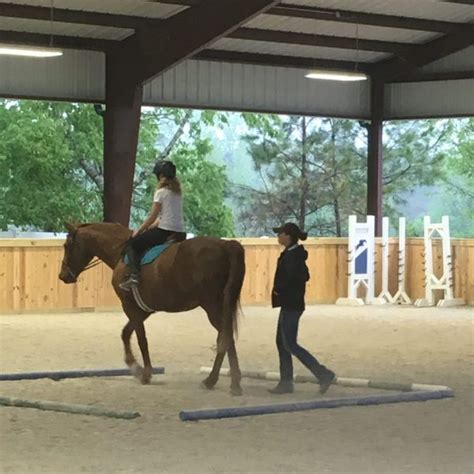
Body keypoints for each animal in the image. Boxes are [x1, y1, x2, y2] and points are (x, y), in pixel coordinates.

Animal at [57, 224, 246, 394]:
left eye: (67, 246)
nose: (62, 276)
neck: (121, 254)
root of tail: (225, 245)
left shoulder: (129, 306)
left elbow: (141, 339)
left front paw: (144, 373)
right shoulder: (143, 310)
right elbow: (126, 333)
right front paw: (135, 367)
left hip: (212, 305)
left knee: (225, 337)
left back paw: (220, 381)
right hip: (221, 305)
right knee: (226, 337)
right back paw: (223, 381)